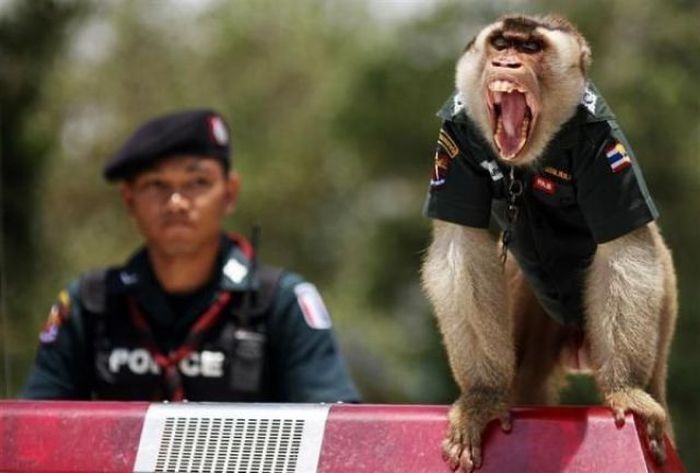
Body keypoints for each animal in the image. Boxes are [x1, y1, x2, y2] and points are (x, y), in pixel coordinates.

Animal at [422, 12, 680, 470]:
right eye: (502, 43)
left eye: (530, 48)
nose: (506, 63)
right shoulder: (454, 132)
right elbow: (461, 245)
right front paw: (483, 396)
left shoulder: (606, 144)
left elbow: (624, 247)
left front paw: (625, 388)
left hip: (663, 303)